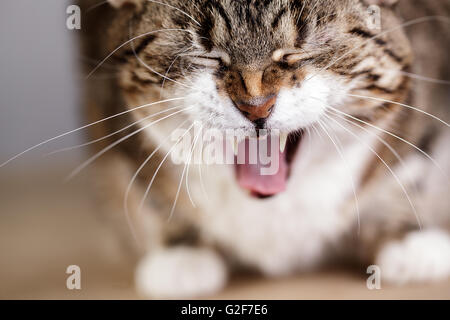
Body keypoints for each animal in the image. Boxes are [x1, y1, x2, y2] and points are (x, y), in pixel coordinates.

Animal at [77, 0, 450, 298]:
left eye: (300, 50)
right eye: (206, 54)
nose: (256, 106)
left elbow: (413, 154)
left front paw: (407, 239)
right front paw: (181, 250)